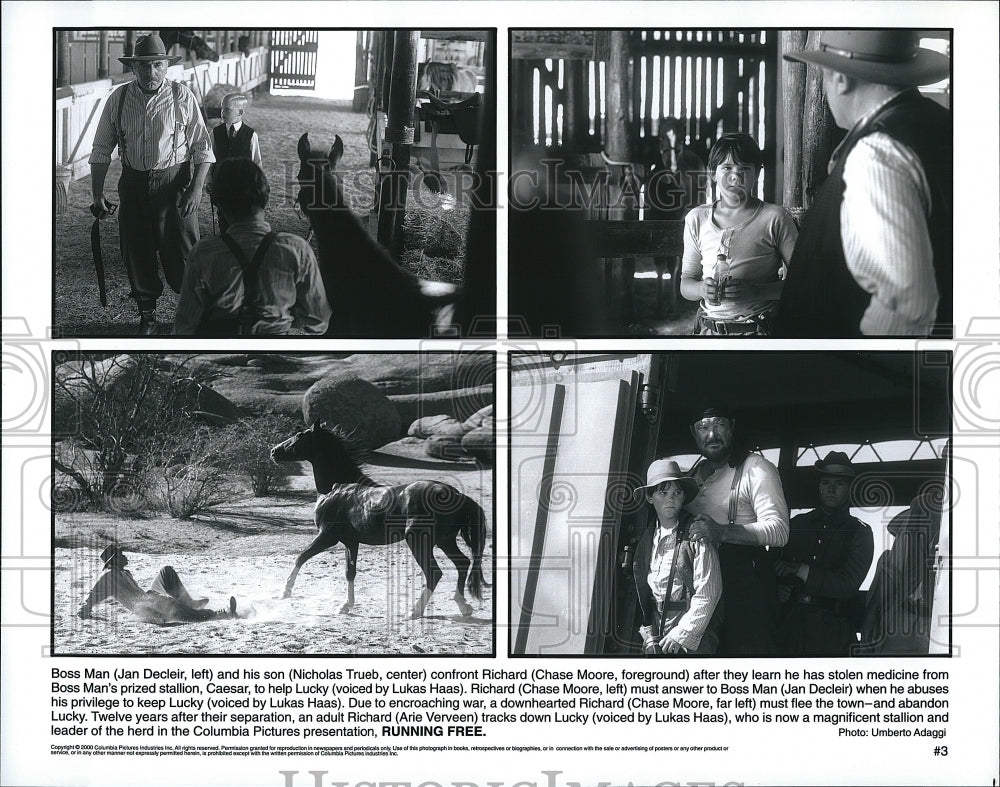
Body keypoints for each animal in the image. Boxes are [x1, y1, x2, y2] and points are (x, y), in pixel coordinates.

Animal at [270, 422, 488, 620]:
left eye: (299, 435)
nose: (273, 451)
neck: (336, 489)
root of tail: (457, 495)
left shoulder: (328, 536)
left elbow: (301, 557)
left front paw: (285, 591)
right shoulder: (351, 542)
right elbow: (350, 572)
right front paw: (346, 606)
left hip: (419, 541)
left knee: (434, 573)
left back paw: (414, 611)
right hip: (445, 541)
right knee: (462, 563)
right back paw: (463, 606)